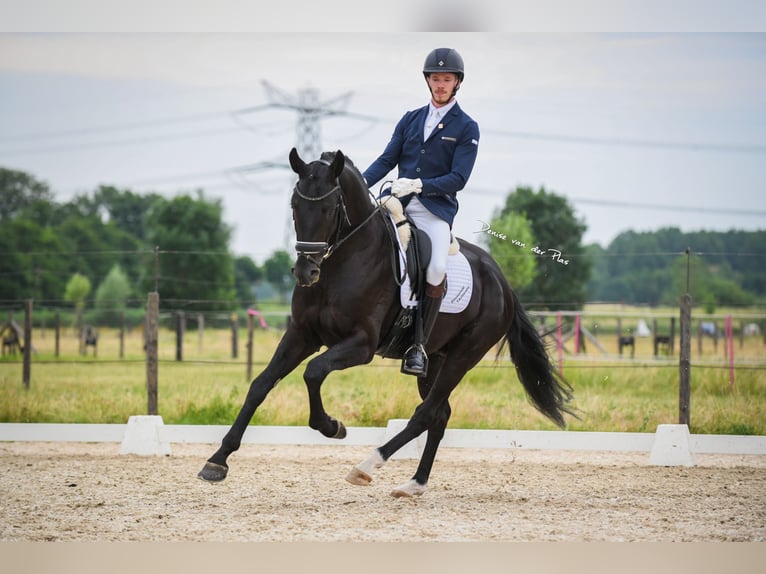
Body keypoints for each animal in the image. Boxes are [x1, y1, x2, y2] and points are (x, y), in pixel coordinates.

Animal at [198, 148, 575, 497]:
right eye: (294, 205)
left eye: (330, 207)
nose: (306, 272)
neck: (342, 263)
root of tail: (502, 282)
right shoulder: (301, 335)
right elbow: (260, 385)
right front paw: (217, 461)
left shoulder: (361, 344)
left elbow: (313, 372)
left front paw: (332, 426)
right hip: (435, 359)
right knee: (439, 414)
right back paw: (414, 484)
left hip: (464, 355)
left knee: (425, 413)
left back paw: (366, 466)